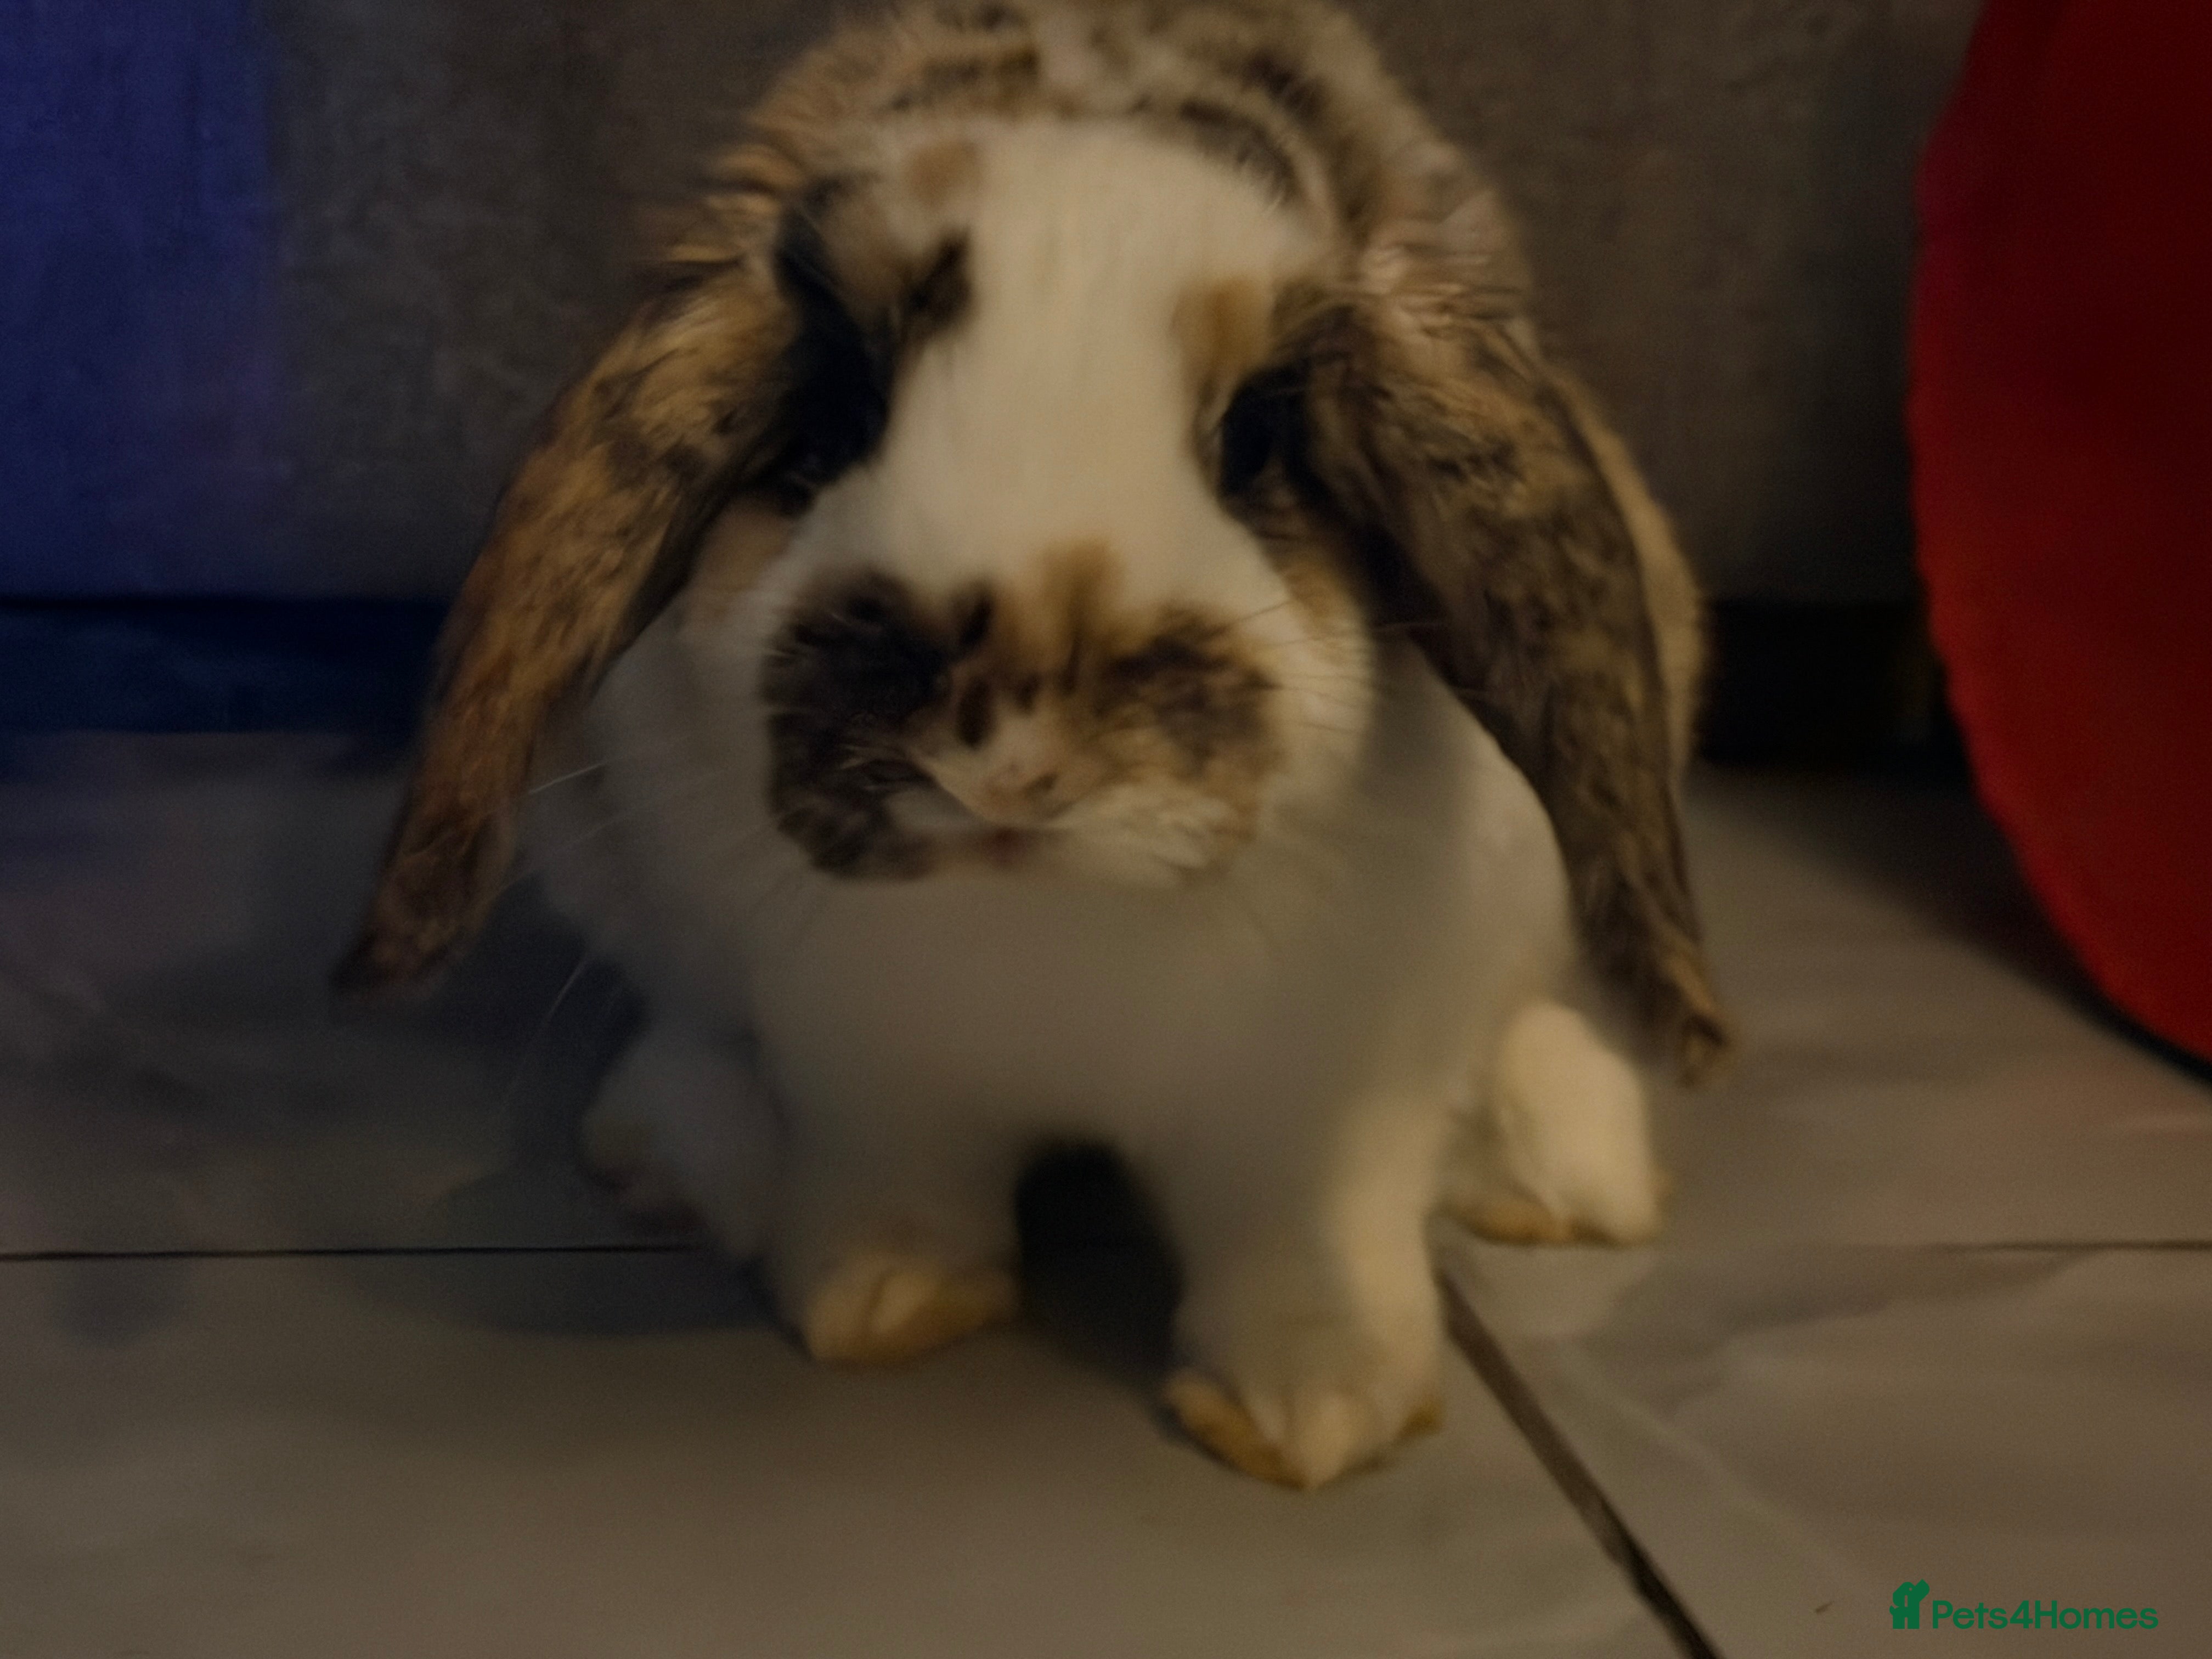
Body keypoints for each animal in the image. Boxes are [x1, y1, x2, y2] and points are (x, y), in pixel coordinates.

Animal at [338, 0, 1727, 1489]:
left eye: (1260, 439)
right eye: (833, 415)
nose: (1006, 760)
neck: (1051, 923)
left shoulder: (1324, 1095)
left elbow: (1309, 1225)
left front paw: (1314, 1412)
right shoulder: (864, 1066)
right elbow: (895, 1179)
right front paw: (878, 1303)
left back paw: (1566, 1171)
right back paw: (670, 1148)